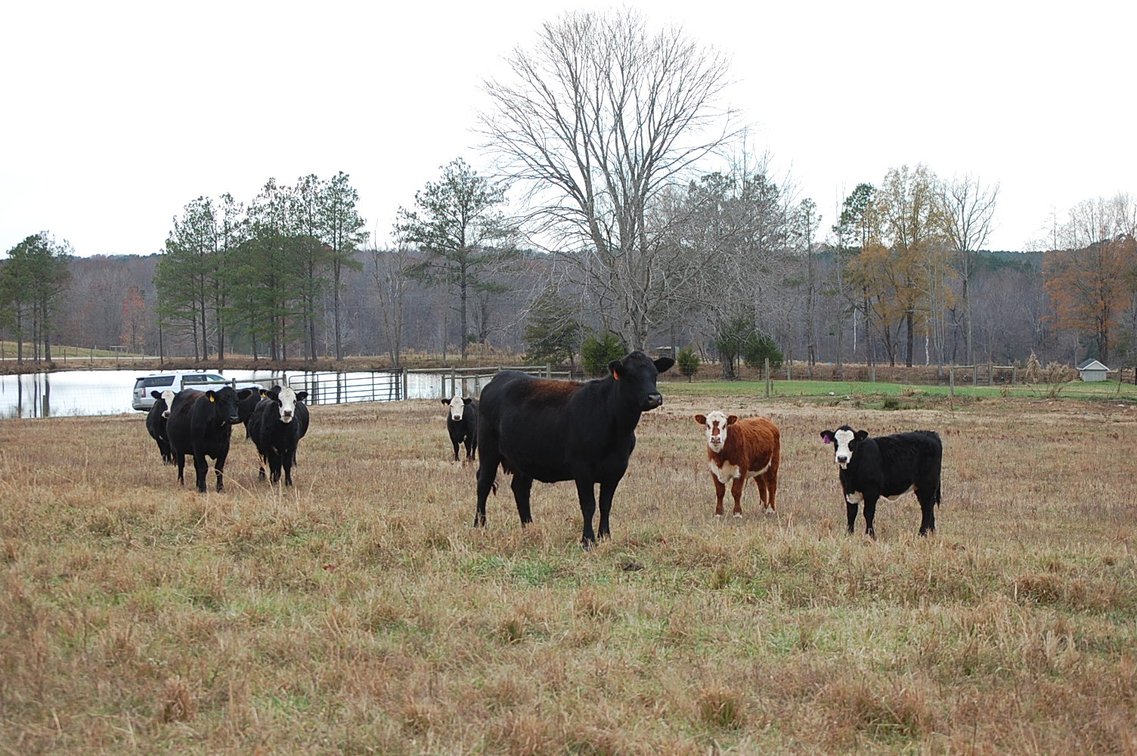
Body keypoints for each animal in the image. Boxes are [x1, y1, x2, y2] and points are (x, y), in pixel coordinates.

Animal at [475, 350, 674, 548]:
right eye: (631, 376)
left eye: (655, 374)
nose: (654, 397)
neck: (615, 427)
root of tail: (499, 376)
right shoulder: (582, 468)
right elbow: (588, 505)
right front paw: (588, 540)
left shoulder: (616, 469)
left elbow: (605, 504)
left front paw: (605, 536)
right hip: (488, 449)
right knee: (483, 483)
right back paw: (480, 525)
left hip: (523, 458)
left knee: (520, 488)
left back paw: (528, 526)